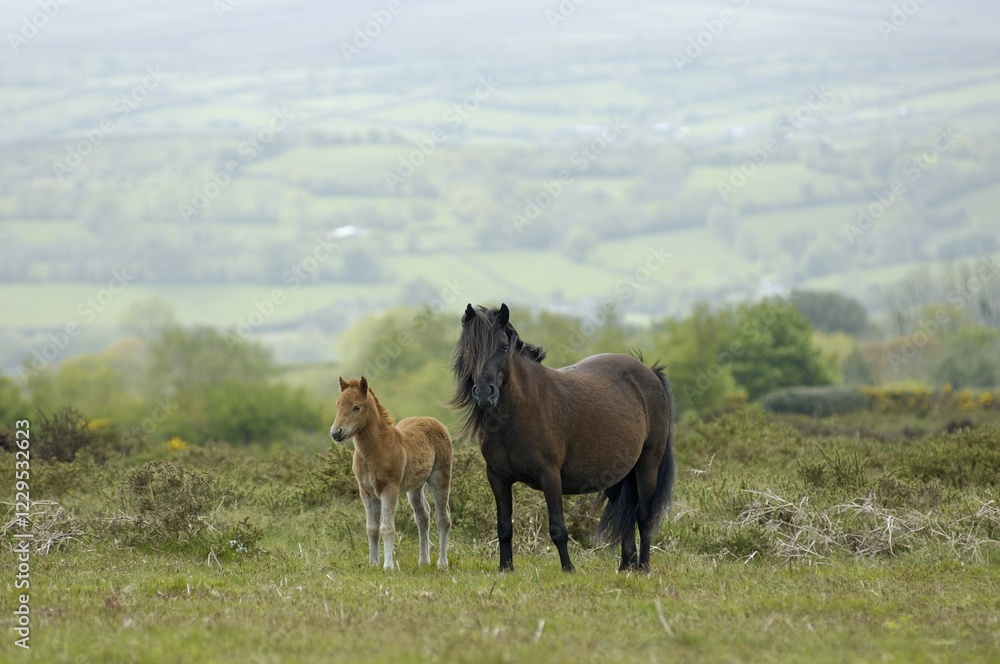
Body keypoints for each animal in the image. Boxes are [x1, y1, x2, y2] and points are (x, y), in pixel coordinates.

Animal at [330, 376, 453, 570]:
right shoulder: (366, 493)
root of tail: (435, 421)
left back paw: (442, 562)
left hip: (440, 478)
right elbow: (372, 529)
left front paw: (388, 566)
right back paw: (423, 561)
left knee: (442, 518)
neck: (375, 450)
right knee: (423, 517)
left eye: (357, 407)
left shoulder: (389, 489)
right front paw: (373, 563)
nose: (336, 433)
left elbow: (387, 528)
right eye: (337, 406)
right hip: (415, 487)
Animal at [450, 303, 675, 572]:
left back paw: (643, 567)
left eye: (503, 346)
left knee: (644, 515)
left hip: (647, 464)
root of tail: (648, 371)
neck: (519, 412)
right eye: (469, 348)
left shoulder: (549, 475)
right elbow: (504, 527)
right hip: (617, 476)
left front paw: (568, 569)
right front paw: (505, 568)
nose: (485, 393)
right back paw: (625, 566)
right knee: (627, 513)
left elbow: (558, 528)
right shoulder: (497, 477)